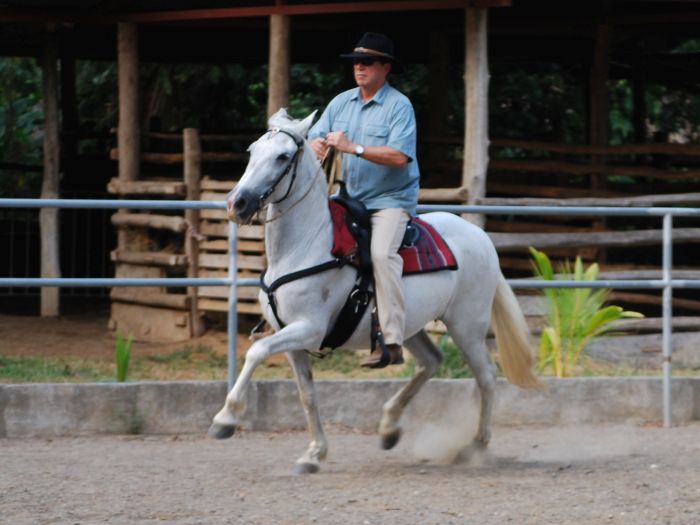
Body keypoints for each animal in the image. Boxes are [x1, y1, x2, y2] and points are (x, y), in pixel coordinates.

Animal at [208, 108, 540, 472]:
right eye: (252, 150)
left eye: (282, 156)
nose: (237, 203)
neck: (306, 245)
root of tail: (481, 238)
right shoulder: (291, 338)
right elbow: (307, 395)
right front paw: (314, 454)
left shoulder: (309, 329)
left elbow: (255, 352)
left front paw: (225, 419)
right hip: (409, 327)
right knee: (431, 361)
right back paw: (389, 428)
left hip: (467, 326)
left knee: (487, 377)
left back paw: (475, 448)